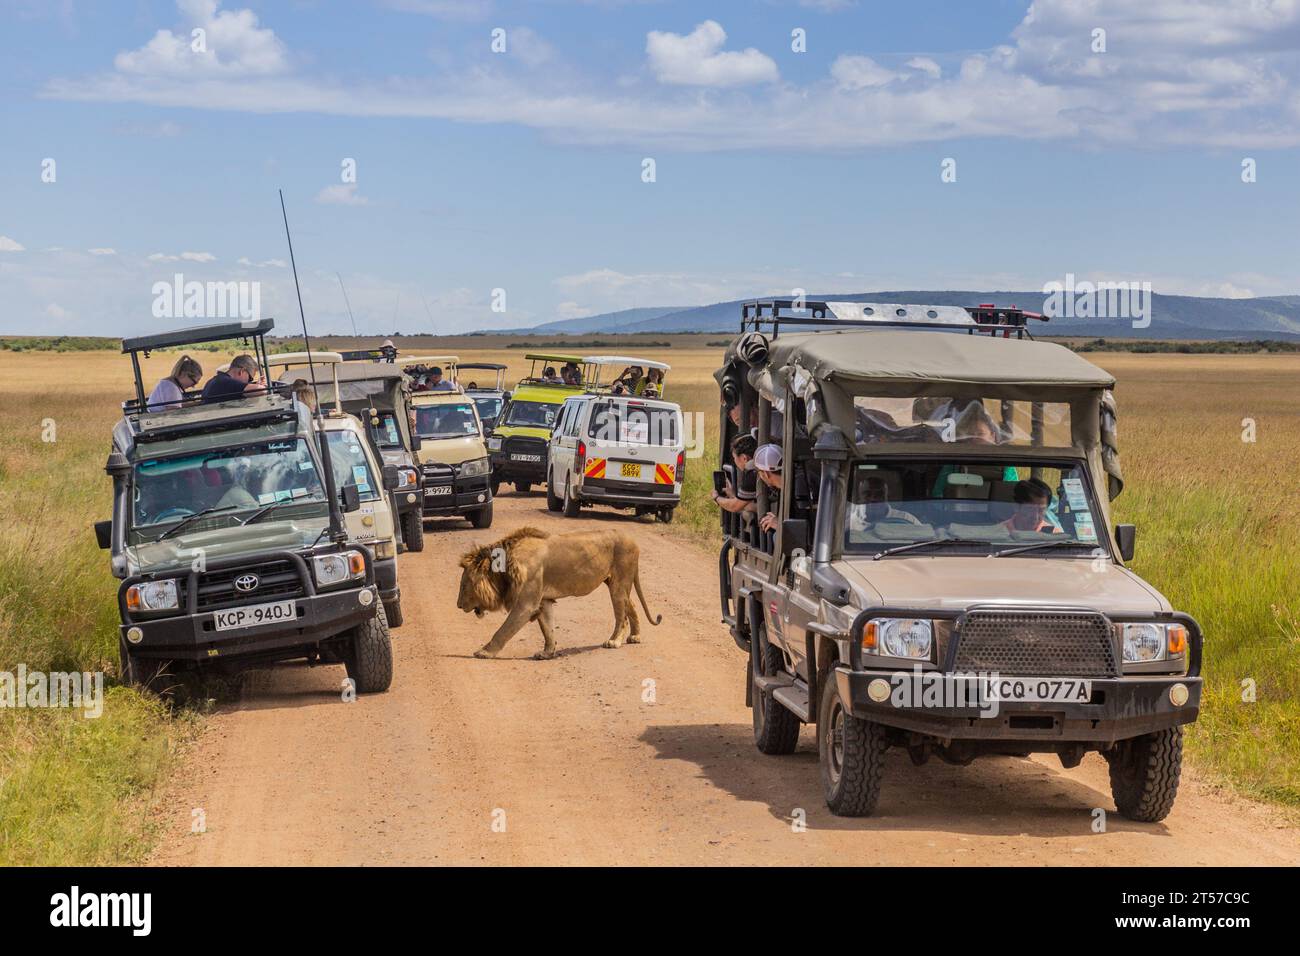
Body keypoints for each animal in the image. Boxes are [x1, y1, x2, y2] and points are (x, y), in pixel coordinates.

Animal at [457, 528, 660, 660]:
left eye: (464, 585)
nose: (458, 605)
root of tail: (632, 540)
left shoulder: (526, 604)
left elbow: (504, 630)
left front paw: (484, 652)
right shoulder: (543, 600)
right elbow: (548, 628)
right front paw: (547, 653)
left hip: (619, 583)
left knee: (621, 615)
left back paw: (614, 641)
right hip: (615, 582)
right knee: (631, 605)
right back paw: (635, 636)